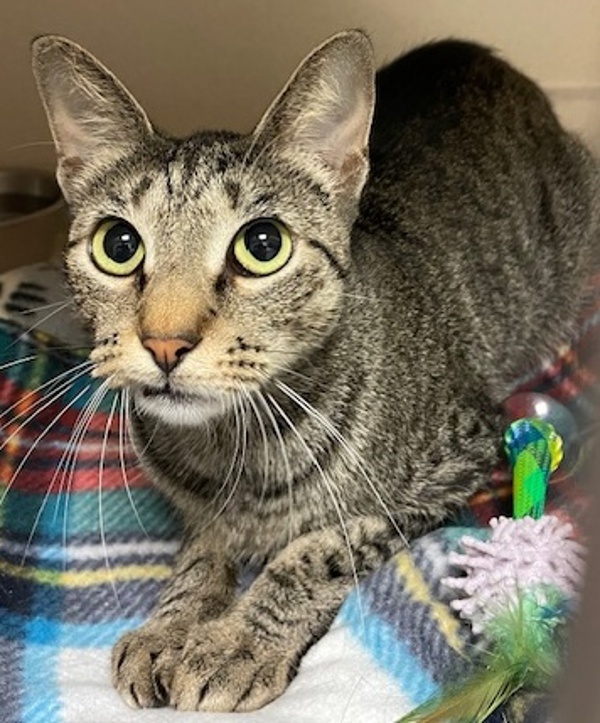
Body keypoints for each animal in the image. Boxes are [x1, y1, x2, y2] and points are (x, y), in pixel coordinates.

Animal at [32, 29, 600, 712]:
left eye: (262, 245)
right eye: (118, 246)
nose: (165, 343)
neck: (233, 454)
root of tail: (472, 50)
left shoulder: (457, 463)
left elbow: (315, 550)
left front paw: (237, 644)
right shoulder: (202, 515)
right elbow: (200, 554)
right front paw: (170, 624)